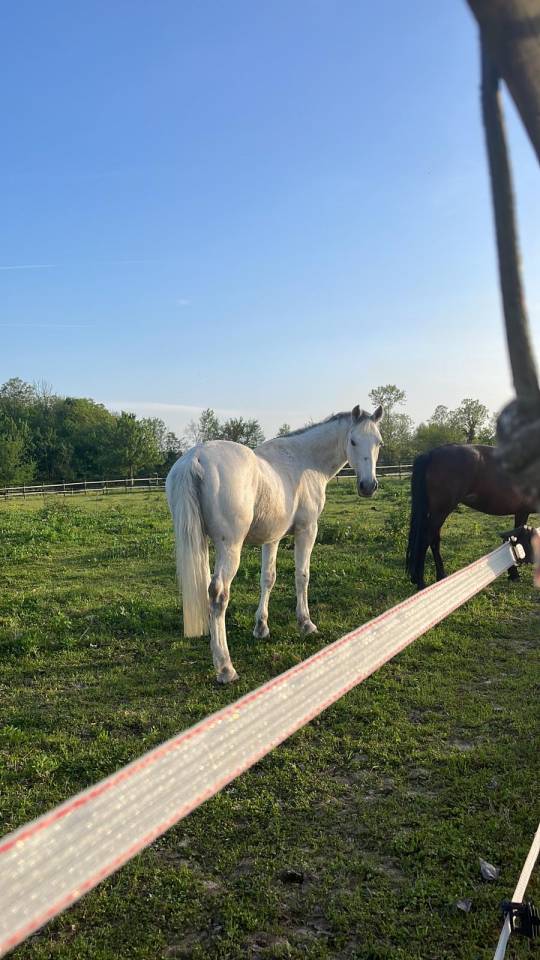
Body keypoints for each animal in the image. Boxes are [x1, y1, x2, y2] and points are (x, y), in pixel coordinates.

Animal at [166, 404, 383, 683]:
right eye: (353, 441)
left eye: (378, 442)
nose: (368, 486)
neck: (305, 462)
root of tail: (196, 457)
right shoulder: (307, 531)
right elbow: (302, 576)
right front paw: (305, 623)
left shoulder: (272, 538)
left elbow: (267, 578)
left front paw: (261, 627)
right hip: (229, 547)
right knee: (218, 594)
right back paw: (225, 667)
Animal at [405, 443, 536, 590]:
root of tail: (432, 453)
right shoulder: (522, 512)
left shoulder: (521, 512)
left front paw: (513, 574)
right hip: (440, 512)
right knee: (425, 541)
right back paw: (421, 584)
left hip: (437, 514)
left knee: (434, 541)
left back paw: (440, 577)